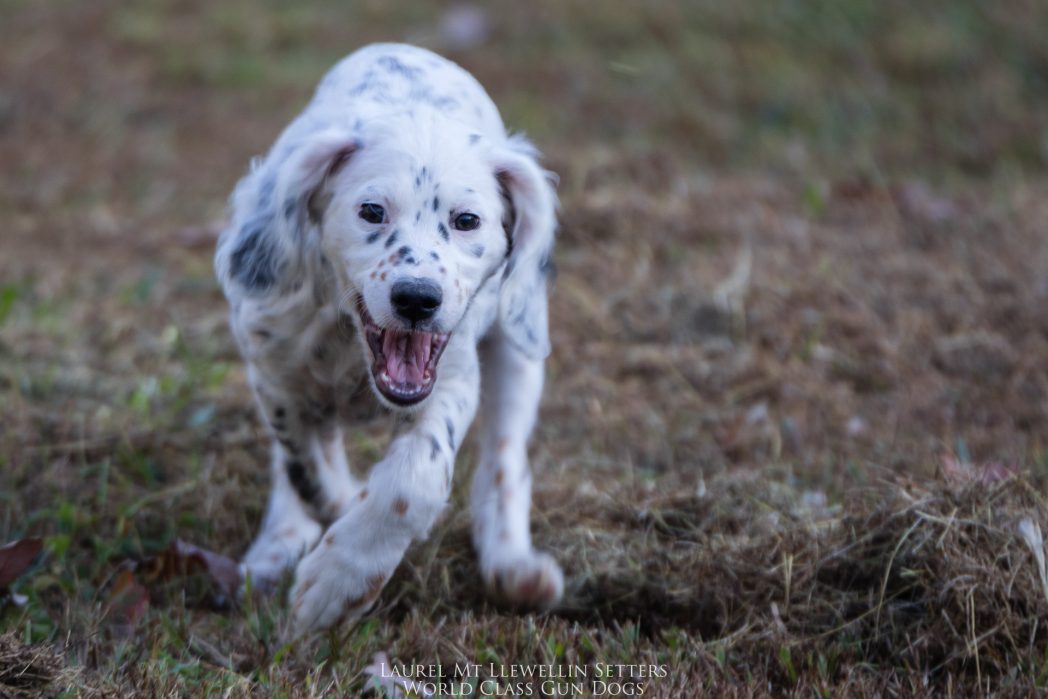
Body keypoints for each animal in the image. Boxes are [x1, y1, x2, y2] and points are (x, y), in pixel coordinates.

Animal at [212, 43, 565, 632]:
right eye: (372, 211)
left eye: (467, 220)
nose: (417, 299)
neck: (350, 345)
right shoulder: (273, 370)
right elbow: (305, 464)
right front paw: (332, 516)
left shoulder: (451, 378)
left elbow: (413, 483)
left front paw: (338, 581)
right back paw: (276, 548)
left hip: (519, 346)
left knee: (505, 458)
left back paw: (513, 566)